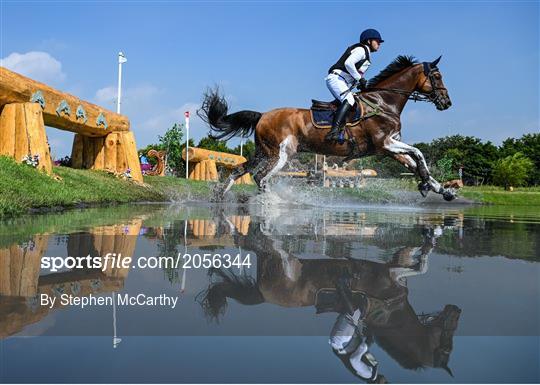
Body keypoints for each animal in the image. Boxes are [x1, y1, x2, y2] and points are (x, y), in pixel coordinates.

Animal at [197, 57, 456, 202]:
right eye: (437, 76)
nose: (447, 103)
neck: (384, 102)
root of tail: (262, 116)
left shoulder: (389, 148)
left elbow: (414, 163)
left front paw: (440, 189)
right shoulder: (385, 143)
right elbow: (419, 154)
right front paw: (428, 185)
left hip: (263, 152)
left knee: (240, 170)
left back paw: (219, 196)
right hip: (281, 154)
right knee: (260, 177)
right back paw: (276, 204)